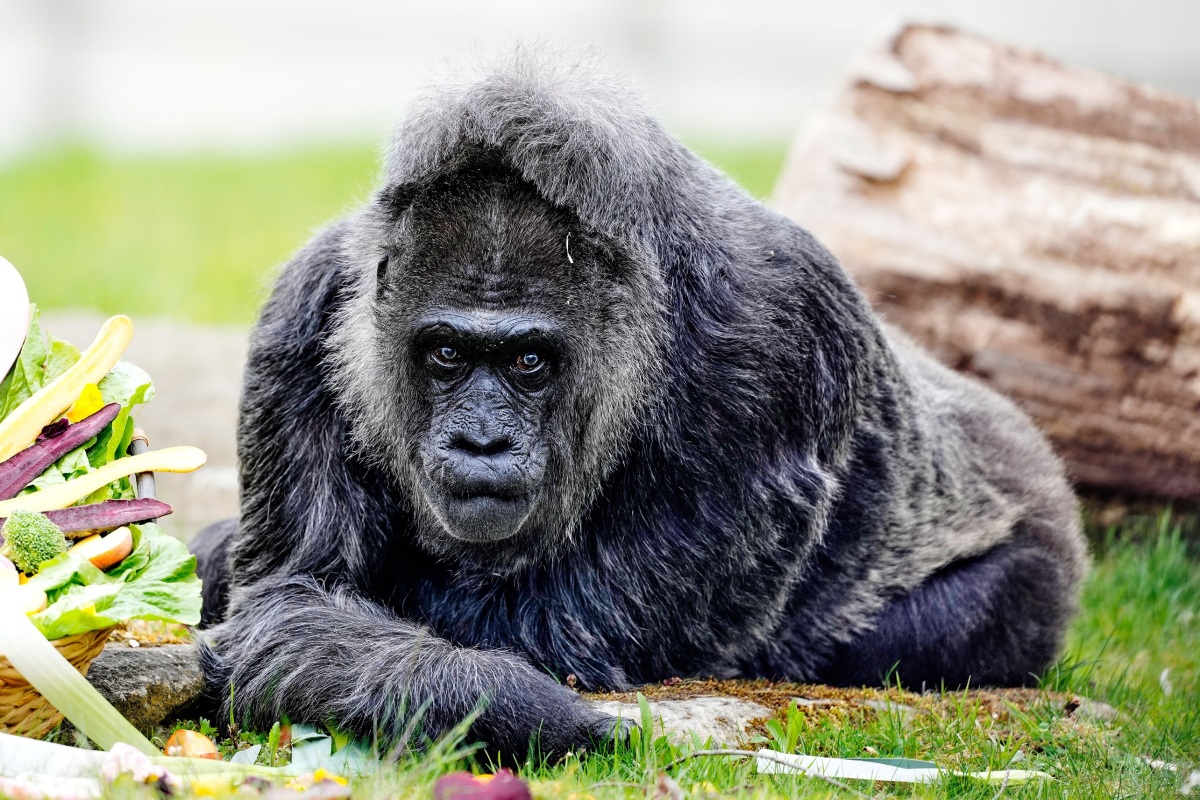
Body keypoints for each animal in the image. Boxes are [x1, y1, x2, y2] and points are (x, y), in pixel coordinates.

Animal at [194, 51, 1088, 759]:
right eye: (446, 353)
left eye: (529, 361)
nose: (482, 442)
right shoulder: (303, 314)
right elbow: (296, 600)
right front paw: (510, 705)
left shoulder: (772, 335)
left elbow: (553, 631)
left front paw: (518, 706)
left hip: (1036, 550)